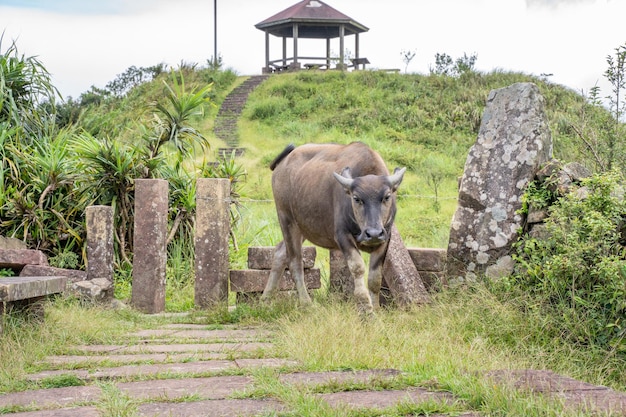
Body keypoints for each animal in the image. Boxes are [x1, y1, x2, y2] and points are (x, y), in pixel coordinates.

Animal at [260, 141, 402, 314]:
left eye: (387, 197)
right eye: (356, 198)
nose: (373, 233)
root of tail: (283, 162)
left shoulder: (385, 237)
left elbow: (375, 278)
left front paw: (376, 308)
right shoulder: (342, 236)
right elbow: (358, 267)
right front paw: (366, 308)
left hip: (303, 227)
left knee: (280, 253)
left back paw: (265, 300)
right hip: (286, 219)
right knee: (294, 262)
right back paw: (306, 303)